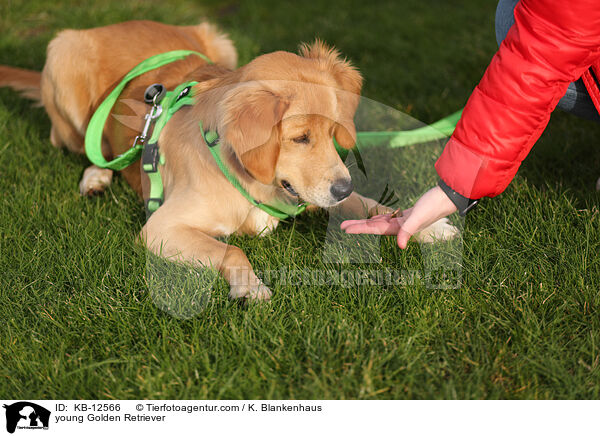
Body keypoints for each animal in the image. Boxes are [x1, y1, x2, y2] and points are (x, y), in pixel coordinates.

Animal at [0, 20, 458, 300]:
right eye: (300, 138)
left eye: (333, 133)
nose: (342, 187)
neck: (245, 175)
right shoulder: (161, 228)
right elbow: (233, 250)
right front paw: (249, 288)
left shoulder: (312, 192)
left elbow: (375, 205)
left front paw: (426, 225)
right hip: (63, 64)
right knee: (82, 144)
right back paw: (96, 176)